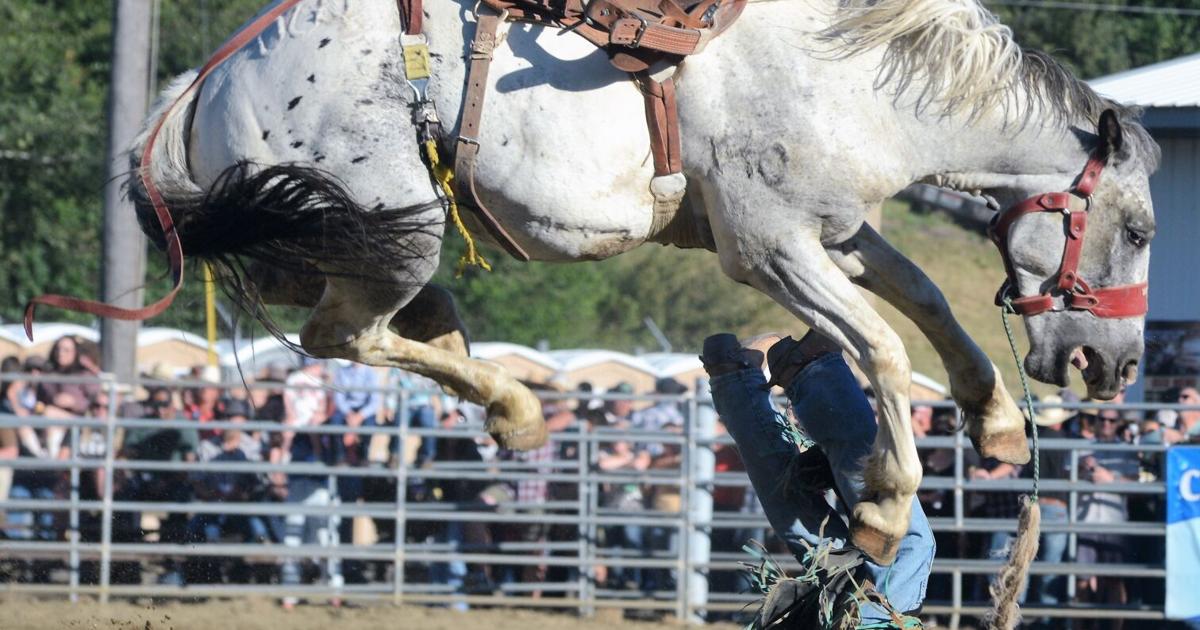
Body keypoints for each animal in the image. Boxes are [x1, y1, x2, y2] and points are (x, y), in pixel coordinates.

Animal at [36, 0, 1159, 565]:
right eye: (1143, 228)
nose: (1111, 369)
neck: (852, 72)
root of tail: (196, 90)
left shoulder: (830, 228)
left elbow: (920, 295)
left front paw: (994, 420)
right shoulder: (770, 245)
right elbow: (878, 345)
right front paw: (886, 502)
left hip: (331, 228)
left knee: (344, 316)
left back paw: (467, 356)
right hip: (393, 221)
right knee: (339, 335)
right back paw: (516, 403)